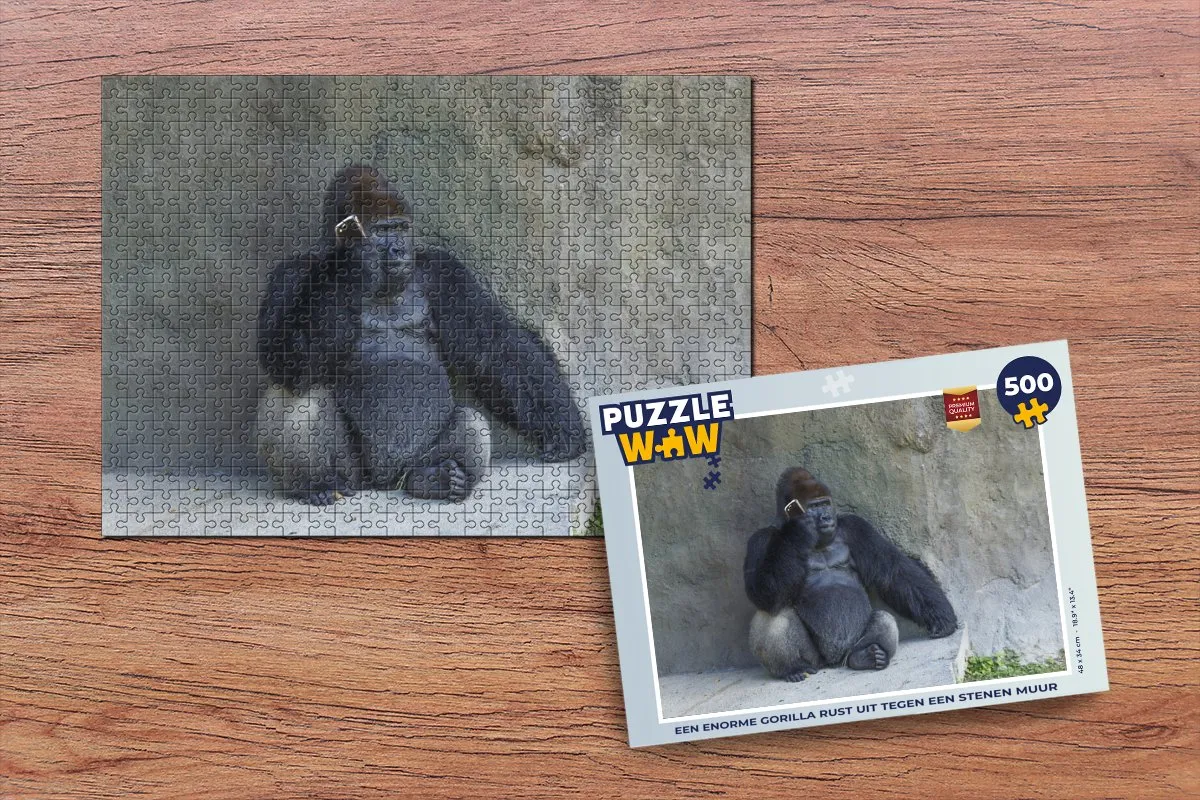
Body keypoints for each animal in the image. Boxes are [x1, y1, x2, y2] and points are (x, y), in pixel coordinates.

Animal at [255, 165, 588, 505]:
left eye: (402, 228)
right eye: (382, 231)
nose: (400, 248)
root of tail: (385, 483)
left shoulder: (443, 272)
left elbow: (495, 347)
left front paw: (563, 425)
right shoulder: (289, 274)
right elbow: (284, 359)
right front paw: (351, 264)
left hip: (415, 460)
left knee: (470, 421)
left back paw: (434, 479)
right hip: (356, 477)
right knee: (301, 394)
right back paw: (317, 484)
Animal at [744, 467, 957, 681]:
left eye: (825, 504)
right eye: (814, 507)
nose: (826, 517)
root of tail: (833, 662)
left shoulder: (856, 527)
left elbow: (894, 572)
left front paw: (942, 616)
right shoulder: (758, 540)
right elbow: (761, 594)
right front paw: (797, 531)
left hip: (851, 647)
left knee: (883, 619)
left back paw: (865, 657)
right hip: (815, 660)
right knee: (775, 615)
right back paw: (793, 669)